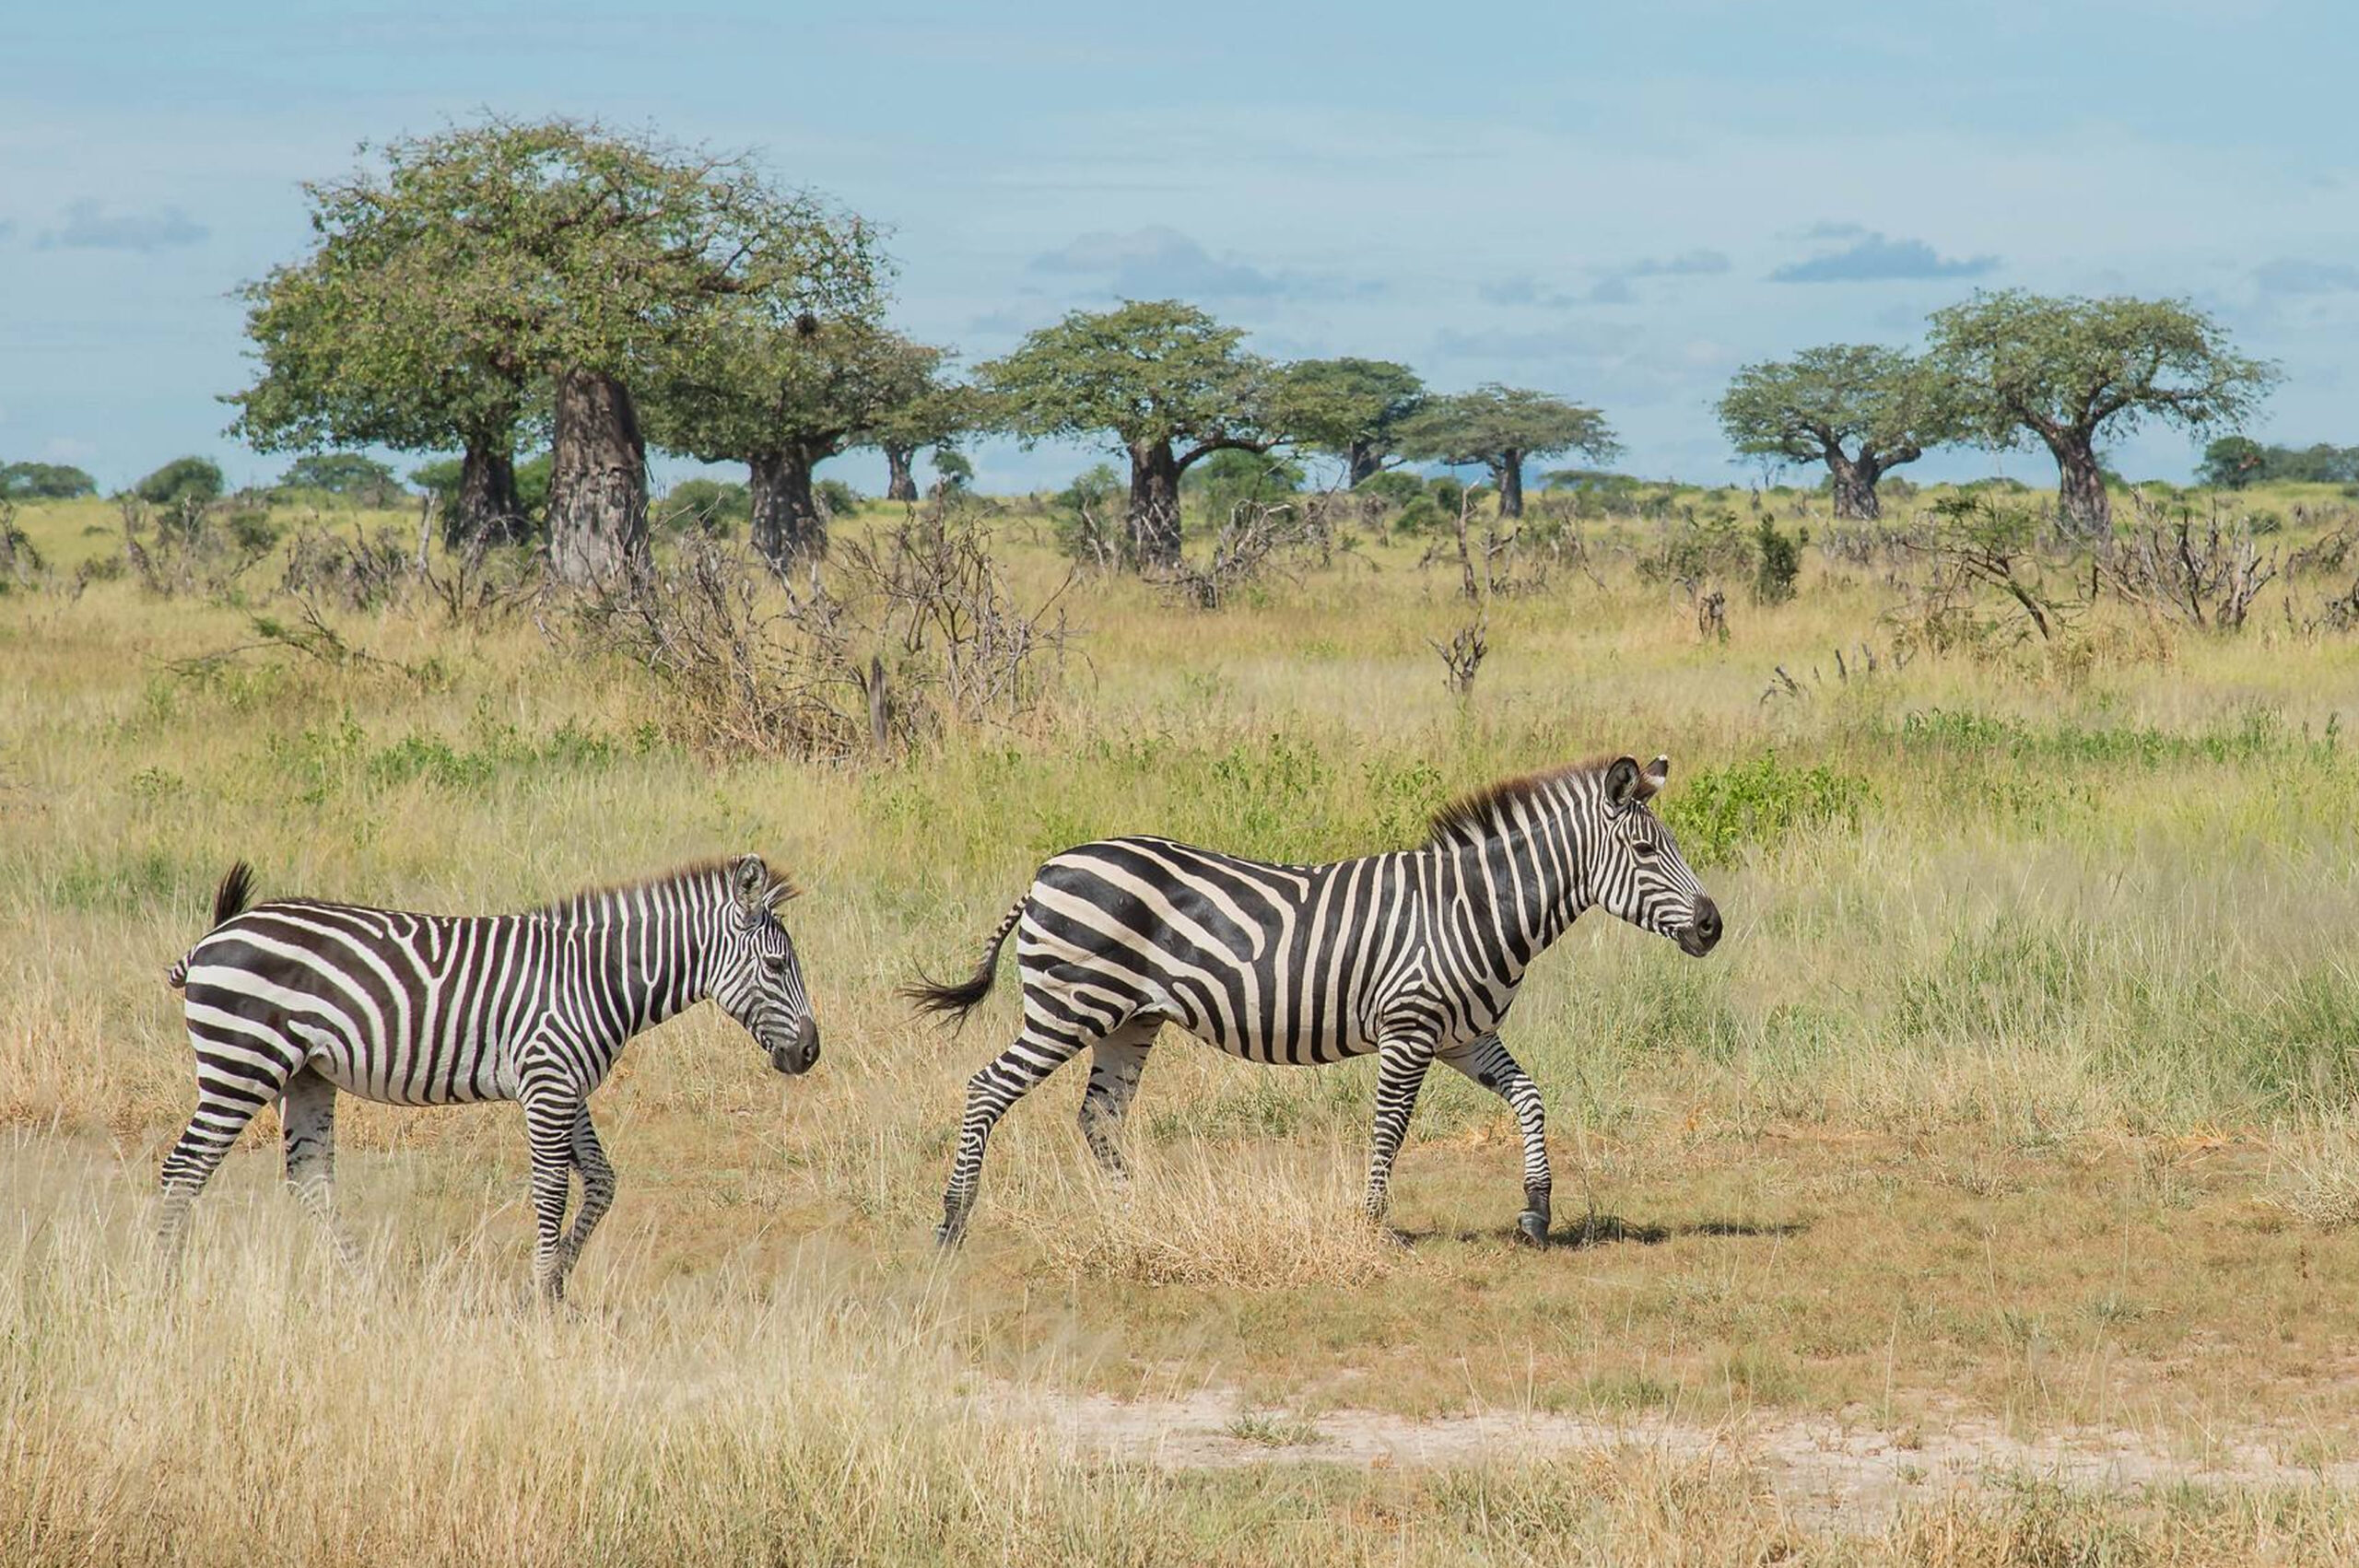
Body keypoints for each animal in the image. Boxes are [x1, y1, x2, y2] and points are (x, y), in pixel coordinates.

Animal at [158, 858, 820, 1292]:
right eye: (776, 965)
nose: (811, 1053)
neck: (596, 976)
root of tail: (214, 936)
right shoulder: (548, 1083)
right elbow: (552, 1188)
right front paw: (540, 1293)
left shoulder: (566, 1084)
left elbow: (602, 1183)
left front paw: (555, 1287)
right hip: (242, 1063)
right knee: (185, 1168)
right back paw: (165, 1285)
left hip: (306, 1074)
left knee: (310, 1177)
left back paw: (367, 1287)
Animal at [900, 755, 1717, 1245]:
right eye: (1647, 851)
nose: (1712, 925)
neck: (1476, 907)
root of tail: (1047, 869)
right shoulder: (1410, 1027)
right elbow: (1390, 1128)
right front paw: (1375, 1225)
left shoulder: (1465, 1035)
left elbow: (1530, 1097)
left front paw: (1536, 1211)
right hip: (1069, 1008)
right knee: (987, 1087)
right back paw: (953, 1222)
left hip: (1130, 1020)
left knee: (1099, 1115)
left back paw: (1138, 1214)